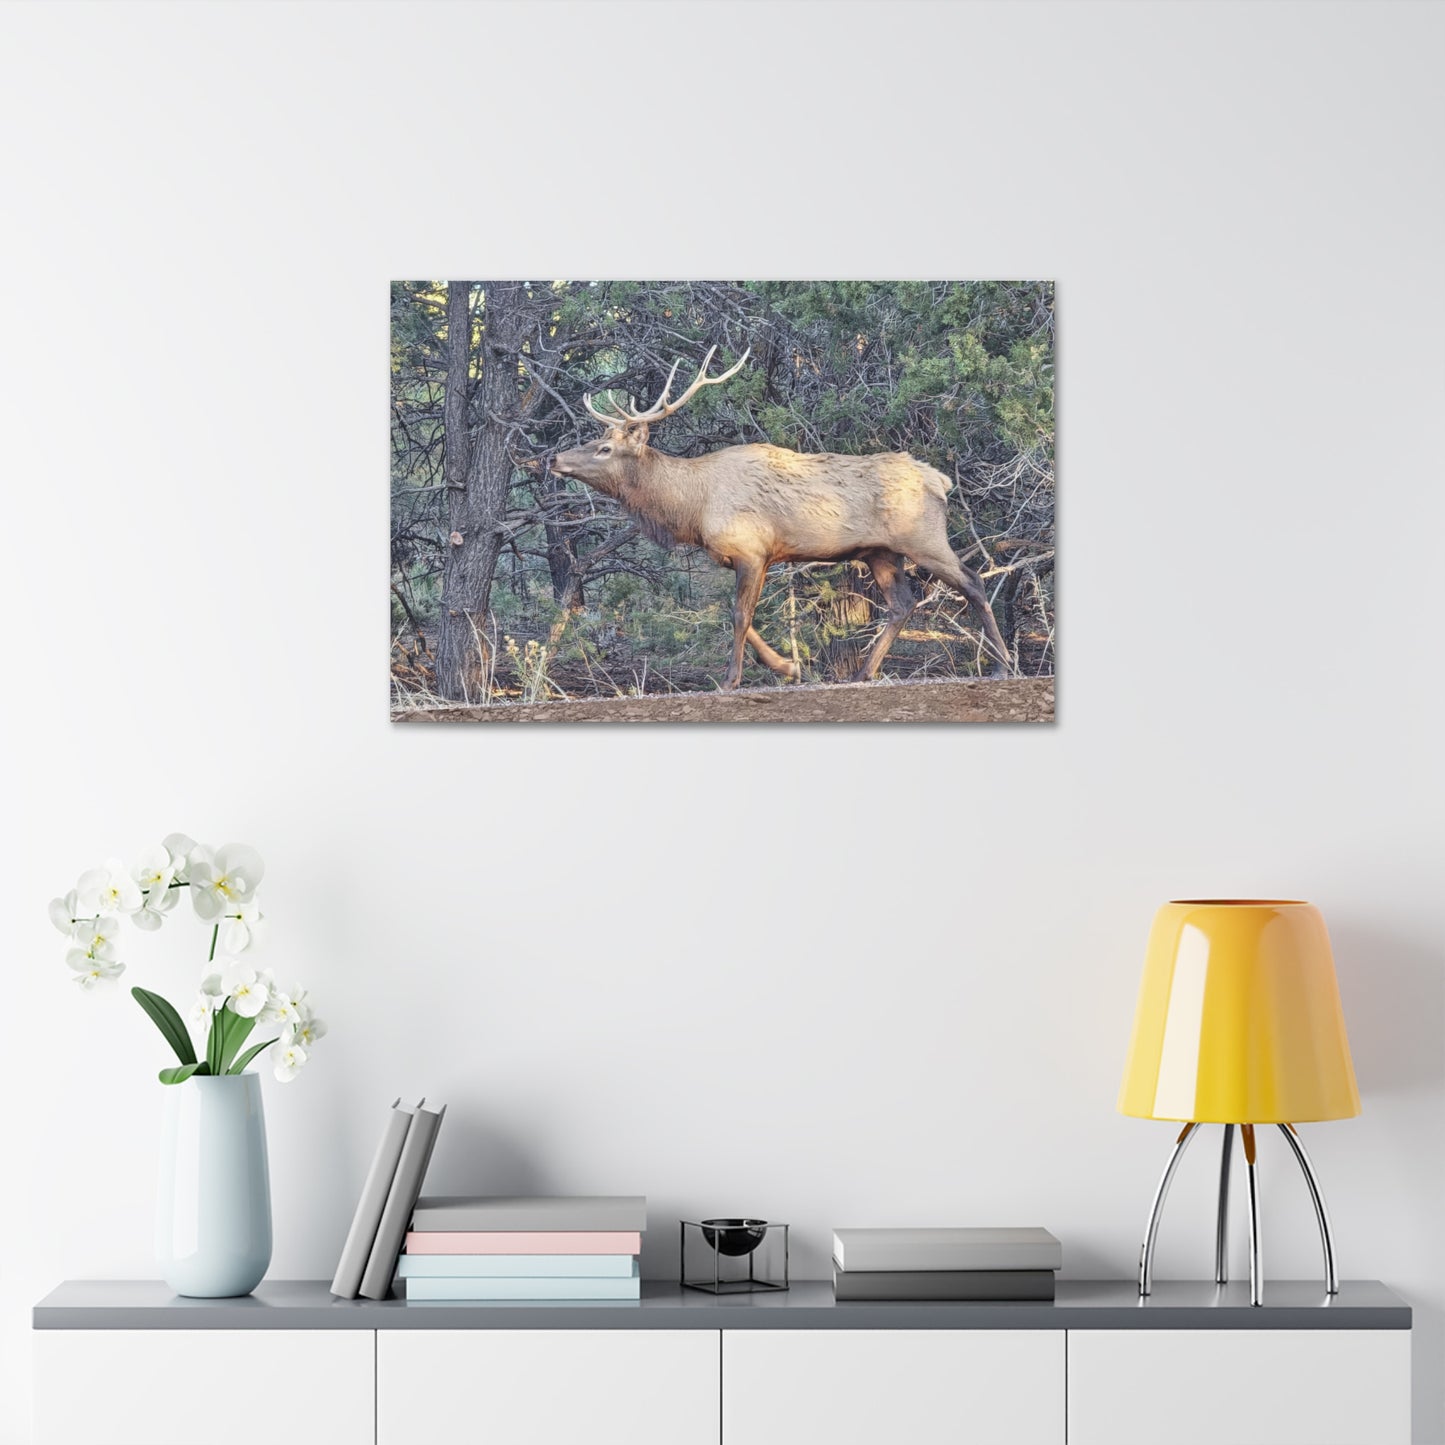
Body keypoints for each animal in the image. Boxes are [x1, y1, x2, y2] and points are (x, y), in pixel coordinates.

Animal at [549, 347, 1011, 690]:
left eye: (605, 449)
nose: (554, 458)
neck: (692, 509)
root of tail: (940, 480)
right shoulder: (751, 556)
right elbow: (743, 616)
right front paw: (790, 666)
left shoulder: (751, 550)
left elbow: (739, 615)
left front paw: (731, 680)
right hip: (880, 552)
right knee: (902, 603)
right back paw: (863, 673)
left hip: (923, 538)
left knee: (972, 580)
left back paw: (1002, 664)